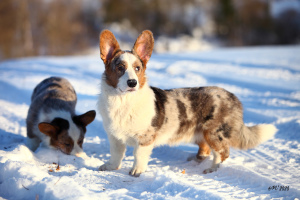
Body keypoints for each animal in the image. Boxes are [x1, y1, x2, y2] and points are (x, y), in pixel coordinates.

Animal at [97, 29, 278, 177]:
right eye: (120, 67)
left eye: (137, 68)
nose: (132, 83)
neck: (122, 101)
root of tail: (233, 97)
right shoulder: (115, 137)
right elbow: (116, 154)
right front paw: (111, 167)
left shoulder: (145, 138)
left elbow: (138, 155)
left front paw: (137, 171)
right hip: (201, 134)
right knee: (206, 149)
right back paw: (196, 160)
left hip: (213, 132)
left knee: (222, 152)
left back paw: (212, 169)